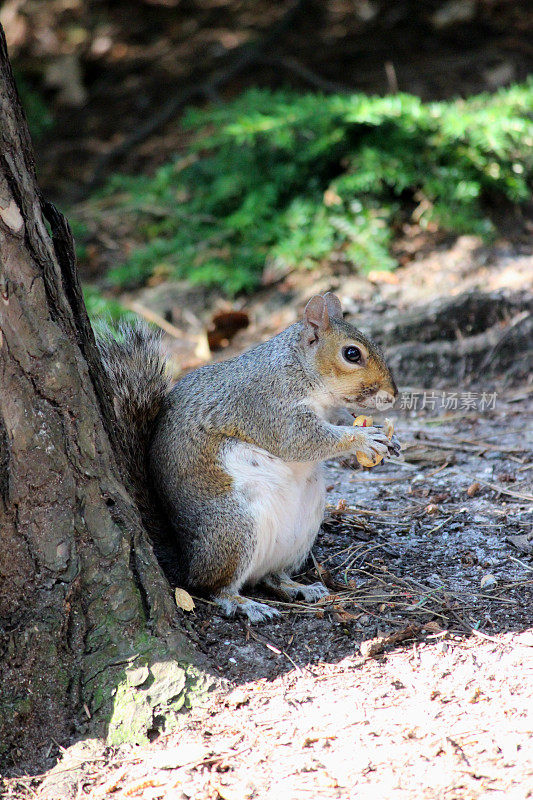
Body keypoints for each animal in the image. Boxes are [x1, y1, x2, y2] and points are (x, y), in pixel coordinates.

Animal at [97, 290, 400, 620]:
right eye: (352, 354)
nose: (393, 394)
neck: (299, 369)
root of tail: (186, 557)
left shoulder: (329, 410)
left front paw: (386, 444)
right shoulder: (269, 407)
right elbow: (300, 440)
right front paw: (363, 440)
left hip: (300, 532)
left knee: (269, 576)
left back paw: (298, 587)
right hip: (234, 527)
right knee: (211, 585)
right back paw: (245, 603)